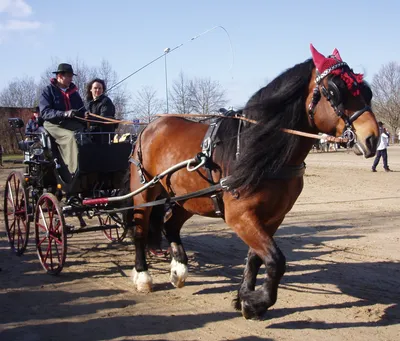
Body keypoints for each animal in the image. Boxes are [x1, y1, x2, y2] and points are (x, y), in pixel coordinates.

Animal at [128, 43, 378, 318]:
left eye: (367, 91)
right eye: (333, 91)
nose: (372, 138)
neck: (258, 150)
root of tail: (150, 125)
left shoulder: (273, 216)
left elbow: (256, 258)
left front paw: (244, 296)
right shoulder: (240, 216)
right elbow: (276, 260)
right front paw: (256, 302)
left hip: (190, 199)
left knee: (170, 225)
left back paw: (179, 270)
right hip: (144, 193)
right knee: (140, 231)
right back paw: (143, 276)